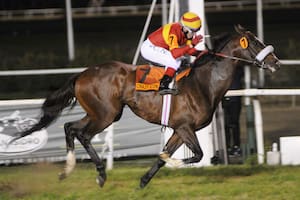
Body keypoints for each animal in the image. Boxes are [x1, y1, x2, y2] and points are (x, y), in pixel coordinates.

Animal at [9, 24, 282, 188]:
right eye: (255, 42)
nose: (276, 62)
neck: (203, 83)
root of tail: (82, 74)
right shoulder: (185, 127)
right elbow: (197, 155)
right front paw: (172, 163)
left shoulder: (179, 129)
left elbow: (165, 157)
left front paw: (143, 181)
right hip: (105, 114)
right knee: (82, 134)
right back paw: (100, 173)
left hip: (102, 112)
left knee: (69, 127)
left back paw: (67, 170)